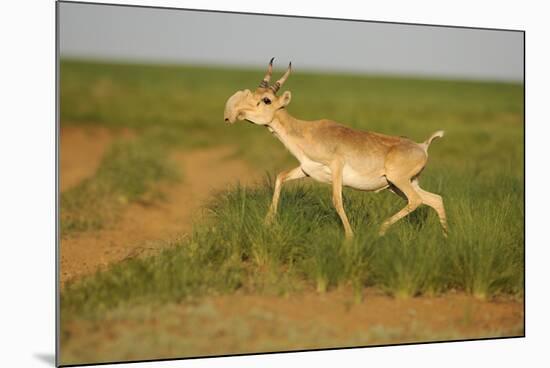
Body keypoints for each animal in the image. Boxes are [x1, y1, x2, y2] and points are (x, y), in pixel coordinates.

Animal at [224, 58, 448, 239]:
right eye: (254, 93)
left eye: (266, 100)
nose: (233, 114)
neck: (307, 131)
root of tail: (422, 146)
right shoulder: (306, 170)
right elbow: (280, 177)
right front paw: (267, 223)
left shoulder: (336, 168)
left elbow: (337, 201)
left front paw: (350, 237)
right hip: (399, 185)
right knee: (435, 199)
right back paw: (445, 239)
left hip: (398, 182)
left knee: (417, 200)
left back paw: (381, 229)